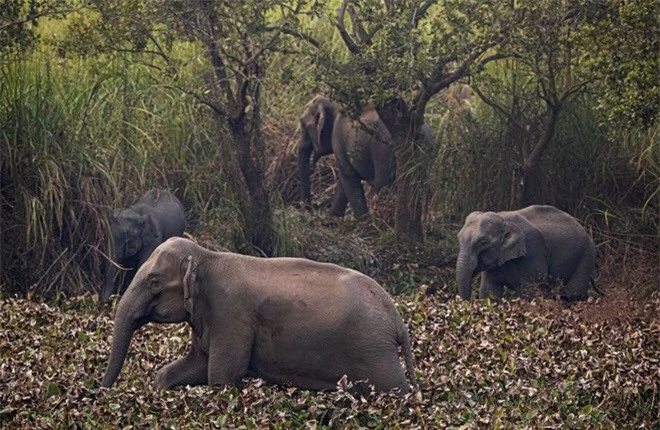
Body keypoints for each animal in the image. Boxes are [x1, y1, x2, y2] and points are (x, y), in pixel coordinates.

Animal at [100, 237, 416, 394]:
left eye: (154, 283)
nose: (101, 390)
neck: (207, 256)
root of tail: (396, 318)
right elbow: (196, 366)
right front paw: (160, 387)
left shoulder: (230, 316)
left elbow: (221, 377)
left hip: (374, 350)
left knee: (394, 391)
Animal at [458, 206, 600, 302]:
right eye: (459, 238)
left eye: (482, 242)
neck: (503, 219)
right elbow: (489, 292)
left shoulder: (532, 250)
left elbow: (531, 292)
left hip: (586, 257)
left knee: (572, 295)